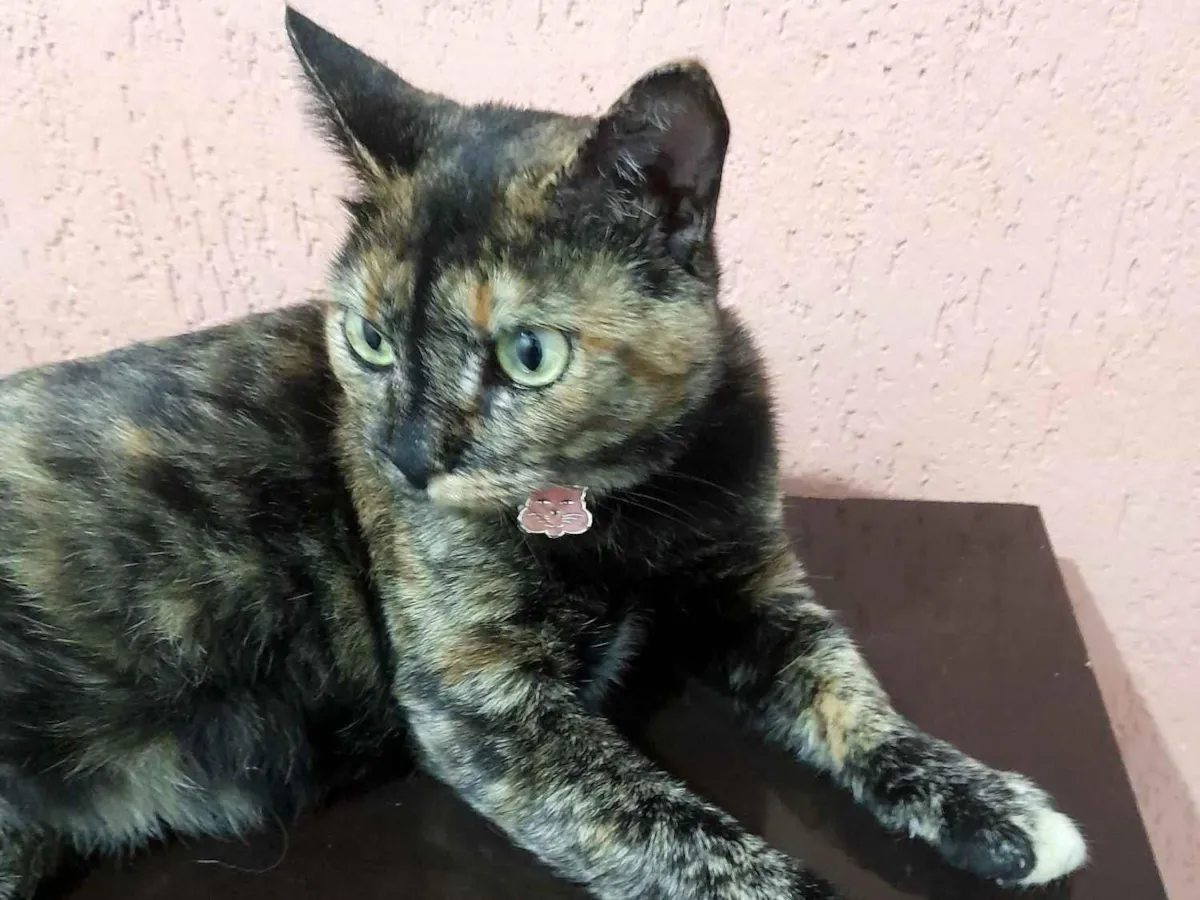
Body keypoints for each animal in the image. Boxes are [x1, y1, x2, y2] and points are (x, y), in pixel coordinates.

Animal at [0, 7, 1087, 899]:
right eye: (371, 339)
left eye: (529, 355)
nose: (405, 459)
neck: (627, 511)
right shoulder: (485, 704)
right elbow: (687, 834)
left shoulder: (749, 587)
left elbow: (852, 697)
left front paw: (992, 806)